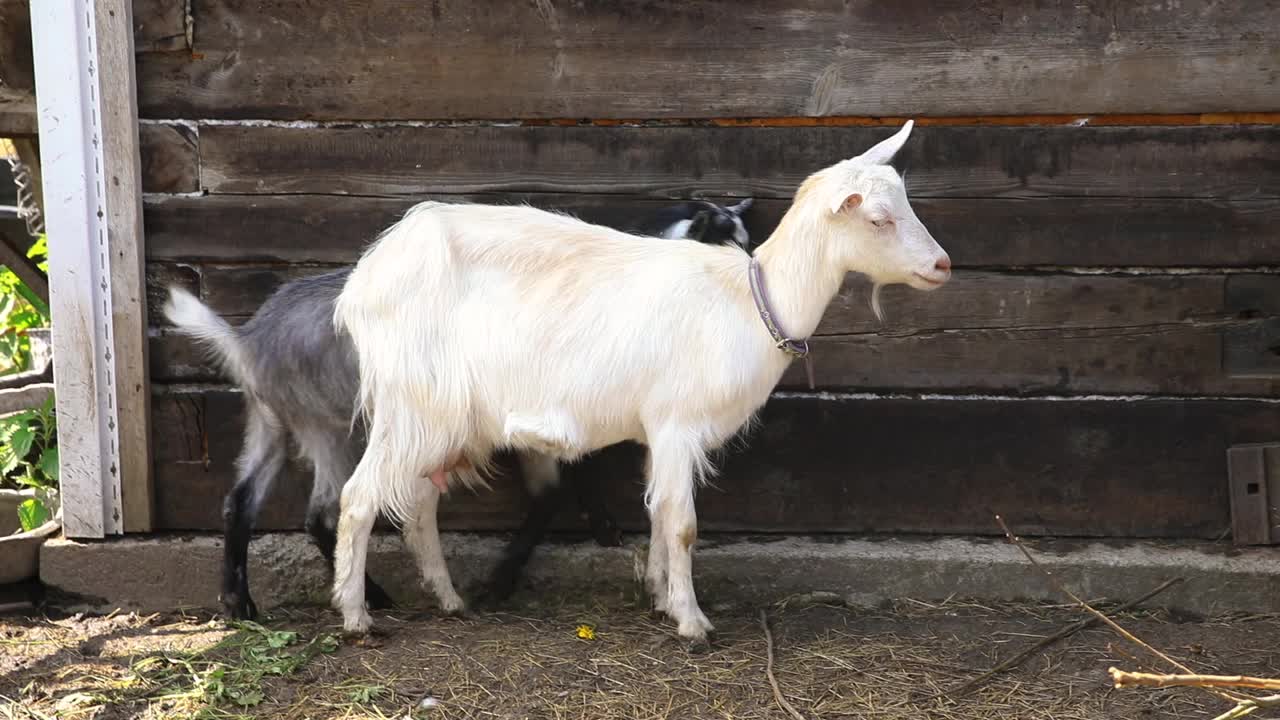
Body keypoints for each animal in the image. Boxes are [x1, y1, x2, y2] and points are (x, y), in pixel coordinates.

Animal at [330, 120, 952, 640]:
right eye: (877, 219)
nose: (943, 265)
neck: (750, 301)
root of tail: (367, 276)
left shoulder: (658, 432)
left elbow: (658, 514)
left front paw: (659, 595)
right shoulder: (678, 424)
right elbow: (683, 525)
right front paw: (692, 622)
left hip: (443, 416)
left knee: (418, 505)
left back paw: (449, 599)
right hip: (412, 402)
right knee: (359, 498)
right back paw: (356, 616)